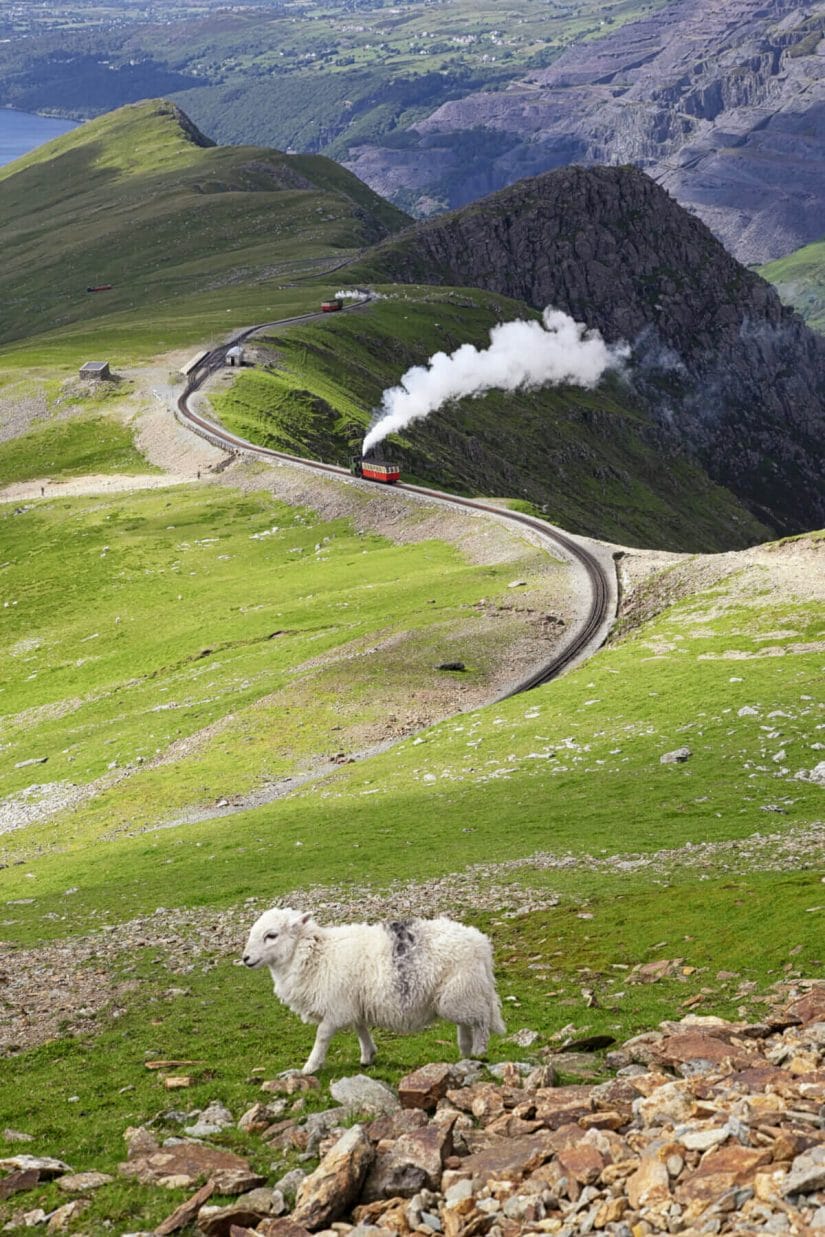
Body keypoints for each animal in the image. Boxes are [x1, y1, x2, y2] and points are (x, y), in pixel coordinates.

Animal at [242, 910, 507, 1073]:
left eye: (271, 935)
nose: (245, 959)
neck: (316, 955)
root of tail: (481, 943)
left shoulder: (336, 1008)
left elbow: (322, 1036)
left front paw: (310, 1067)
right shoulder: (353, 1005)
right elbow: (361, 1030)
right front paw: (368, 1056)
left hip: (460, 993)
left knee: (481, 1021)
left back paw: (479, 1053)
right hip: (460, 994)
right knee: (467, 1023)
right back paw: (465, 1053)